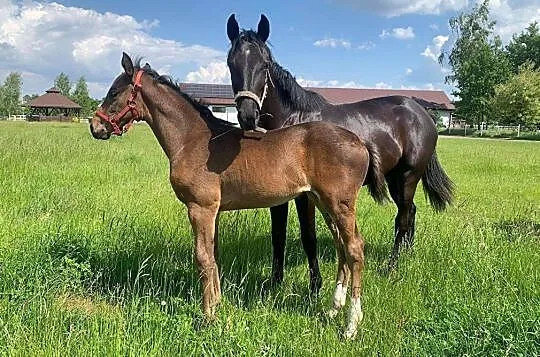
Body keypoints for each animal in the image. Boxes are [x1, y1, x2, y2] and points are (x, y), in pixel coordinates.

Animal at [90, 53, 388, 340]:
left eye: (114, 92)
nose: (95, 126)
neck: (193, 140)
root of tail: (360, 141)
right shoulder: (213, 212)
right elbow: (214, 255)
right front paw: (217, 304)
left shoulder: (200, 209)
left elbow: (202, 258)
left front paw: (207, 317)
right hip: (322, 203)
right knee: (341, 248)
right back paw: (333, 309)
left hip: (340, 204)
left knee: (354, 249)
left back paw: (351, 325)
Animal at [226, 13, 454, 292]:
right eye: (231, 63)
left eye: (265, 64)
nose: (248, 116)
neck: (294, 121)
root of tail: (421, 111)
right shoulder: (279, 195)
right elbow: (277, 235)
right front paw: (274, 283)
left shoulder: (306, 195)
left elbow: (308, 236)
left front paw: (315, 286)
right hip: (395, 178)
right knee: (410, 213)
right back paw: (407, 255)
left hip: (409, 176)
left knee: (402, 219)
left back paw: (391, 268)